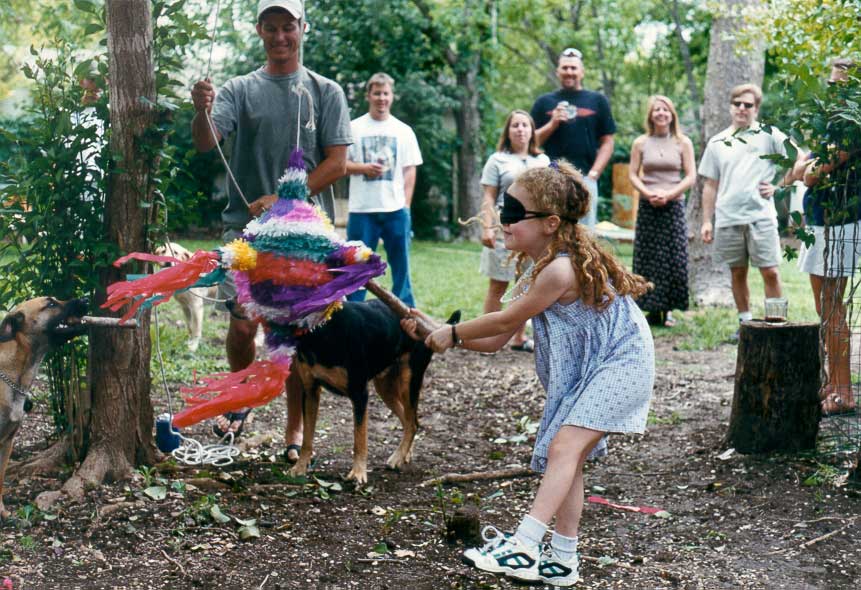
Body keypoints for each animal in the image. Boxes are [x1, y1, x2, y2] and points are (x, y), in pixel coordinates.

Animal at [288, 300, 460, 486]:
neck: (322, 330)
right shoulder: (310, 391)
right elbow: (307, 437)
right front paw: (299, 467)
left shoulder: (360, 394)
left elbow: (359, 439)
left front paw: (358, 473)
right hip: (385, 388)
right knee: (409, 421)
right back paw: (404, 454)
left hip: (410, 380)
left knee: (412, 422)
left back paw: (397, 457)